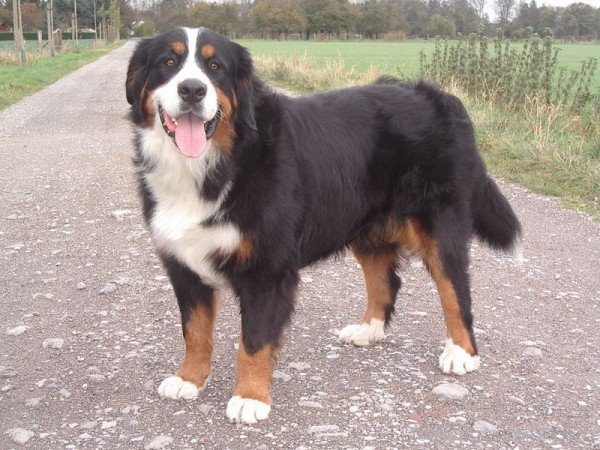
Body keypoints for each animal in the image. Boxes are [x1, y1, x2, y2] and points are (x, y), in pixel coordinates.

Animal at [125, 27, 520, 422]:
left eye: (215, 67)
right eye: (169, 62)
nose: (192, 89)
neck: (214, 164)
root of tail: (437, 96)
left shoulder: (267, 270)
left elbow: (254, 339)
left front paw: (250, 397)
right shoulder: (183, 265)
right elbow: (194, 331)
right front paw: (188, 379)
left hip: (440, 225)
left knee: (455, 290)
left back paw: (461, 352)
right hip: (366, 226)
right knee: (386, 280)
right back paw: (368, 330)